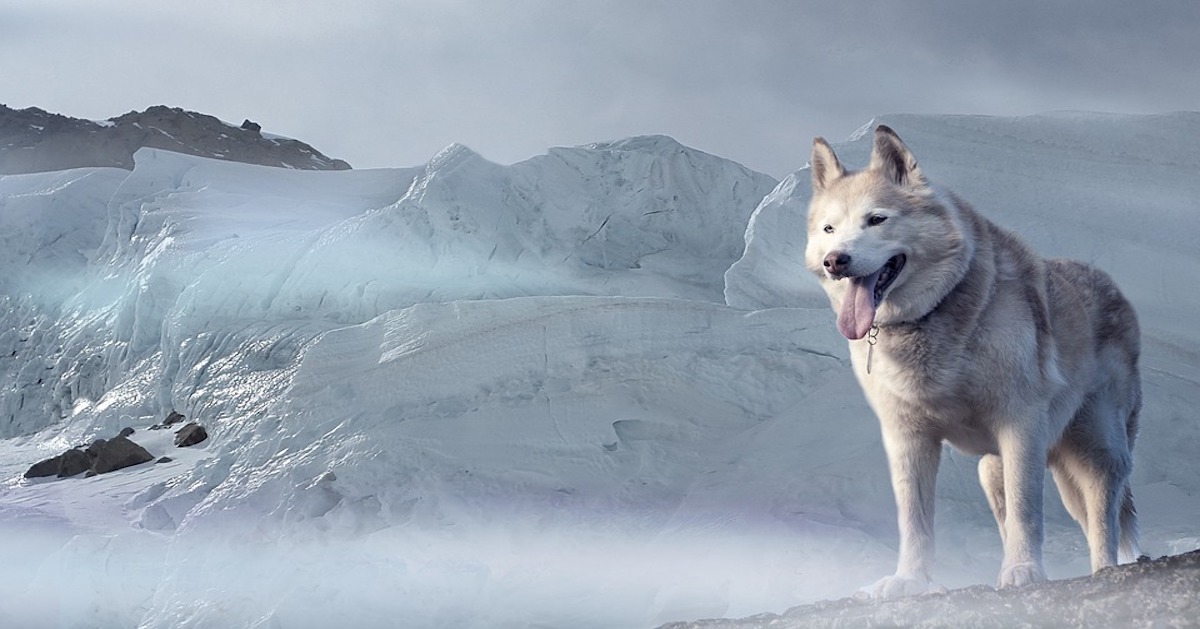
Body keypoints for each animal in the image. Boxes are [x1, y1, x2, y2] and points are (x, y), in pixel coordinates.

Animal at [806, 125, 1142, 597]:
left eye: (876, 219)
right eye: (829, 228)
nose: (836, 260)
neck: (932, 317)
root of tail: (1114, 288)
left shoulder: (1020, 424)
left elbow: (1027, 510)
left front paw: (1024, 571)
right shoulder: (907, 438)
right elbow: (915, 520)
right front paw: (909, 580)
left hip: (1096, 450)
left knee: (1101, 519)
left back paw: (1104, 571)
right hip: (993, 468)